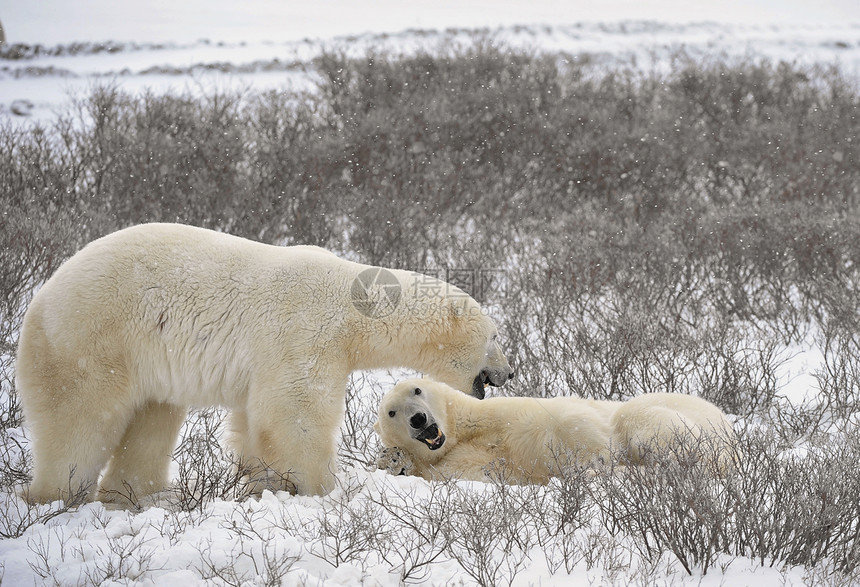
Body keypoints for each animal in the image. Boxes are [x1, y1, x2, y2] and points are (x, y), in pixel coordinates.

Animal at [15, 223, 510, 504]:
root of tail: (40, 297)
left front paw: (262, 484)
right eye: (495, 336)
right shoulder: (304, 333)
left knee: (151, 420)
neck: (353, 308)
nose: (509, 373)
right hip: (92, 340)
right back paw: (54, 496)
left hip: (145, 361)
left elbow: (254, 422)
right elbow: (295, 414)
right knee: (79, 423)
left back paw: (143, 496)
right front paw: (324, 490)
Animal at [372, 378, 736, 484]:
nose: (418, 420)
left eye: (417, 390)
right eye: (392, 411)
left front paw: (595, 463)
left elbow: (568, 420)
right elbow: (481, 471)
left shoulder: (505, 413)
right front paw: (394, 460)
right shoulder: (456, 461)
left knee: (638, 420)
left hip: (682, 418)